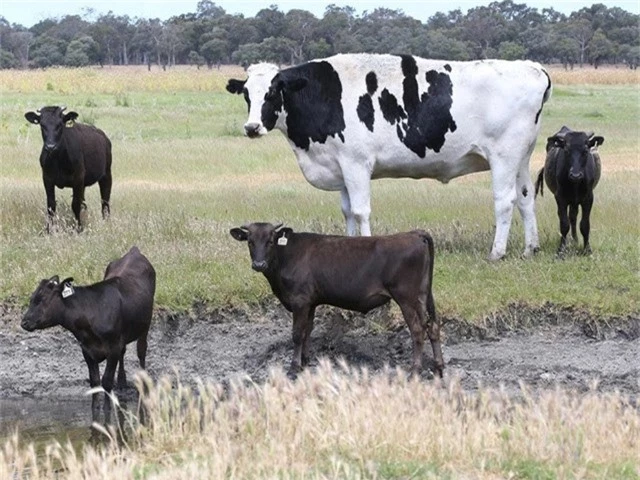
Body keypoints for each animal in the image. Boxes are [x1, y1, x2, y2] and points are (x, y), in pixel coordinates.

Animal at [21, 246, 156, 392]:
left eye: (41, 299)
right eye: (31, 298)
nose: (23, 322)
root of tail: (133, 251)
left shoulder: (113, 348)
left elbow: (106, 381)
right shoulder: (87, 350)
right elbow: (95, 381)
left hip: (145, 325)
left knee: (141, 350)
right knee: (124, 351)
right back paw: (121, 381)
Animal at [228, 54, 552, 260]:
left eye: (273, 92)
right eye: (246, 94)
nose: (252, 127)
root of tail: (531, 67)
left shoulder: (357, 163)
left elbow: (361, 211)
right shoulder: (341, 166)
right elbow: (347, 211)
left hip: (503, 156)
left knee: (505, 201)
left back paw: (496, 253)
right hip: (521, 157)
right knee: (525, 198)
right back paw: (530, 249)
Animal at [230, 223, 444, 376]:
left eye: (271, 241)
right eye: (250, 241)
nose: (259, 264)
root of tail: (414, 234)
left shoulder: (299, 300)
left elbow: (297, 334)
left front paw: (294, 367)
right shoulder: (310, 302)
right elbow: (307, 331)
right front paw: (305, 360)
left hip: (407, 297)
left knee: (418, 330)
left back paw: (415, 370)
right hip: (422, 295)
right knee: (432, 327)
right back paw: (439, 367)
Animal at [536, 125, 604, 256]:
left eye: (585, 151)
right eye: (567, 151)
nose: (575, 175)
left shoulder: (588, 198)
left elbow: (584, 225)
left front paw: (587, 249)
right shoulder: (560, 198)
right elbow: (564, 224)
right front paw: (561, 249)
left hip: (575, 201)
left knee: (573, 216)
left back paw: (575, 239)